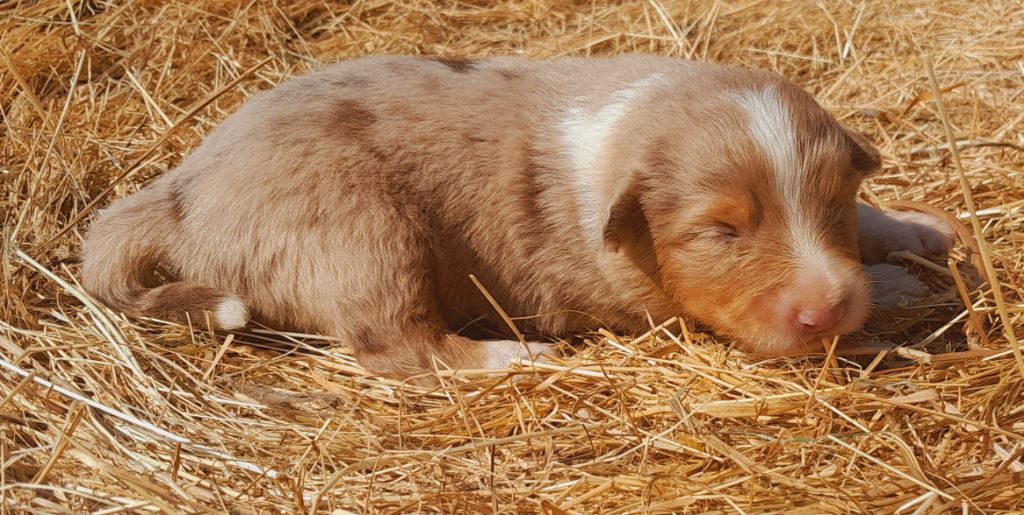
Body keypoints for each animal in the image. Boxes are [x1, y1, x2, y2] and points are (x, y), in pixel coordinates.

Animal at [81, 55, 955, 380]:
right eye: (721, 231)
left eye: (830, 204)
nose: (827, 305)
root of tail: (182, 186)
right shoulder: (643, 295)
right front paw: (897, 285)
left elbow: (876, 222)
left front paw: (919, 231)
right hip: (364, 238)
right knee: (399, 346)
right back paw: (515, 351)